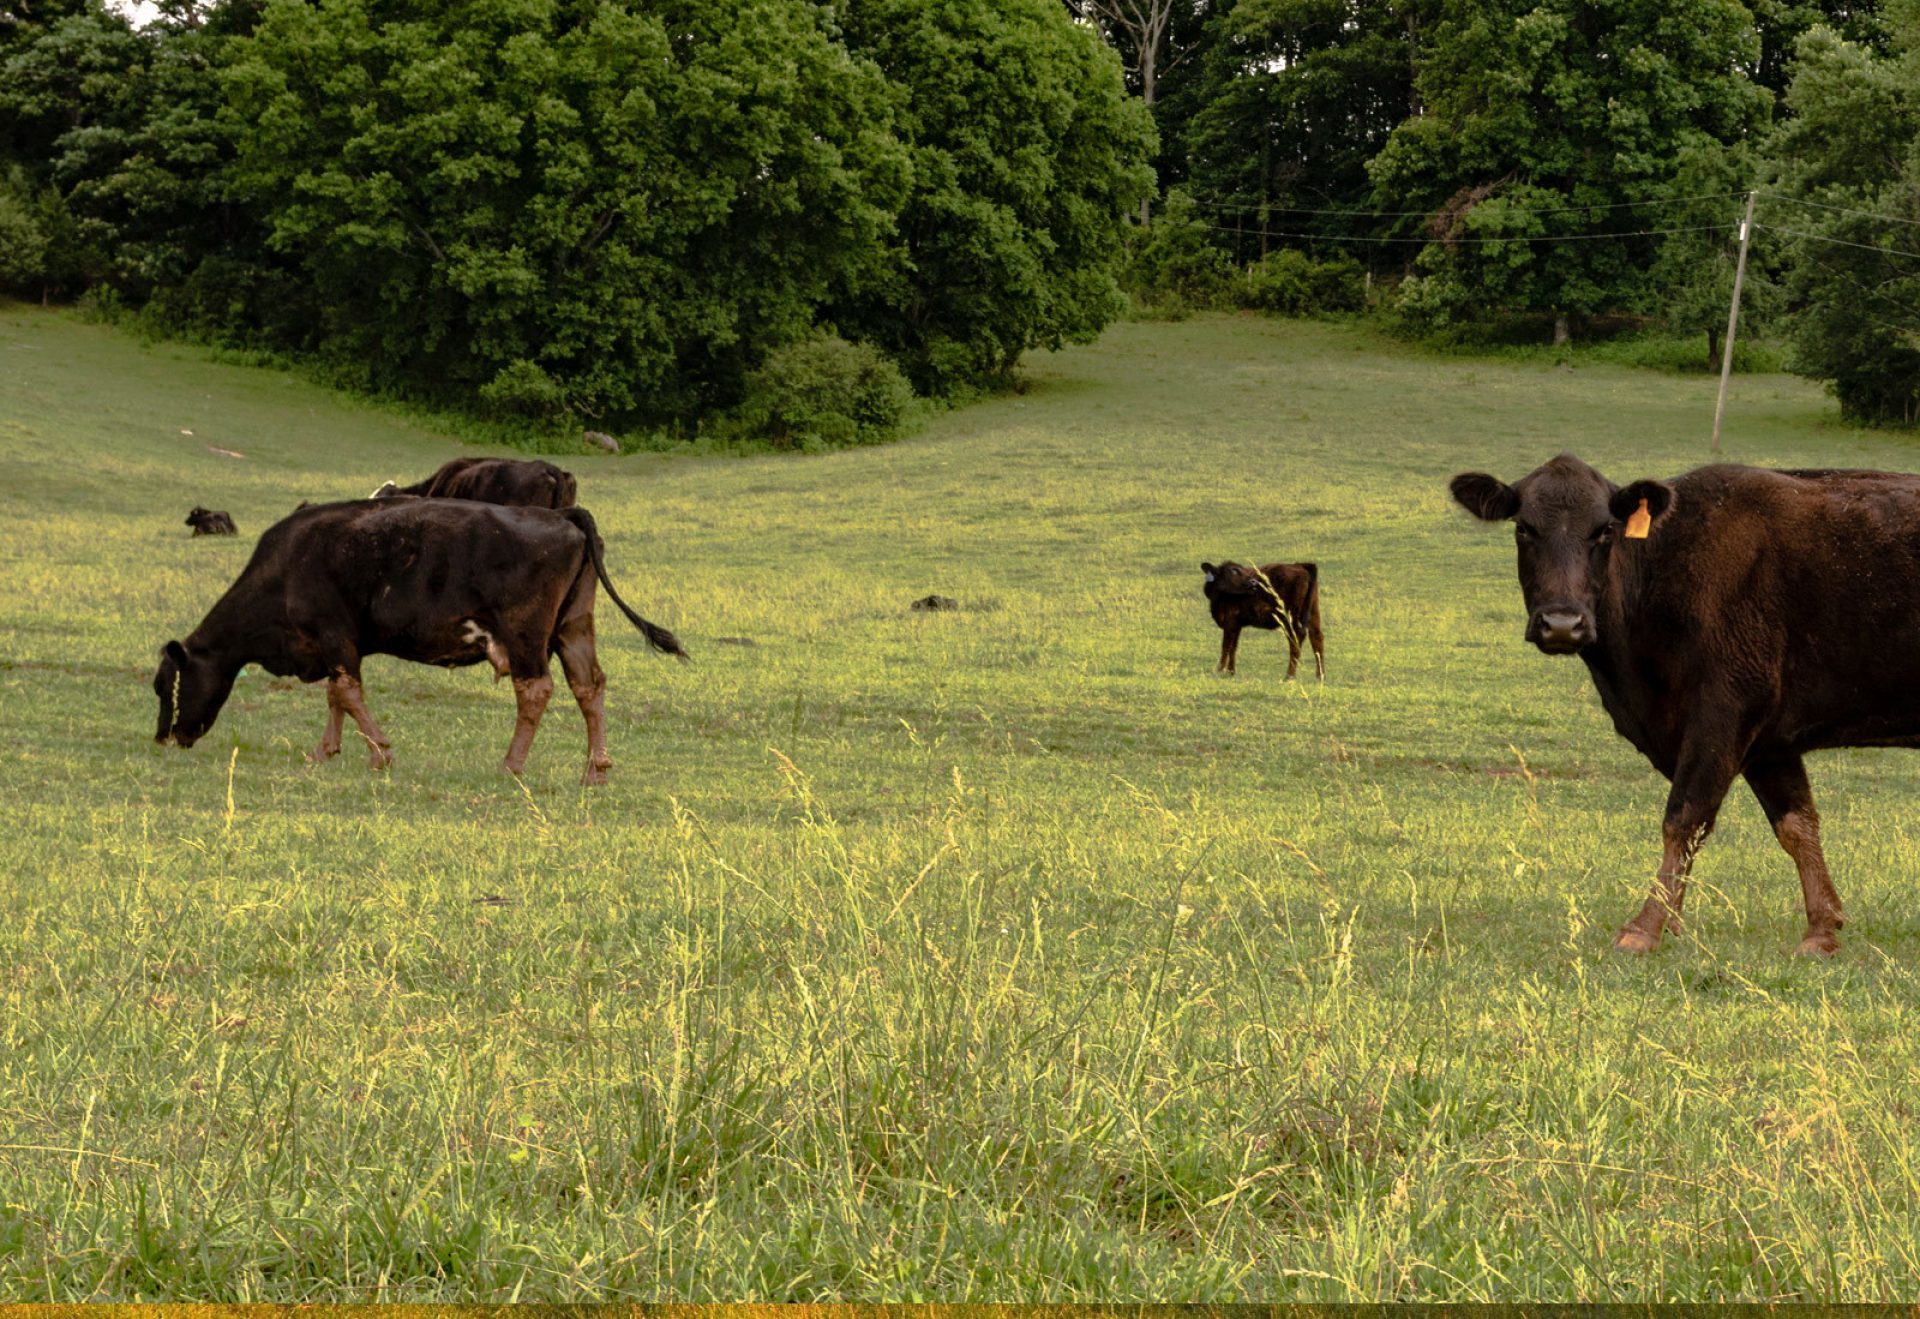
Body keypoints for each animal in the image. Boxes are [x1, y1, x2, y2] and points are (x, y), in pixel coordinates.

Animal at [153, 499, 687, 783]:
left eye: (166, 686)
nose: (167, 737)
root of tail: (564, 515)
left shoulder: (334, 634)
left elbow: (347, 692)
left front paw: (380, 752)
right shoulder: (335, 645)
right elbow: (337, 695)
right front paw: (325, 751)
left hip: (526, 634)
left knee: (536, 689)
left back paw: (511, 764)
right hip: (574, 626)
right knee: (588, 686)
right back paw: (596, 767)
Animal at [1443, 453, 1920, 959]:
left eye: (1604, 530)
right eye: (1524, 529)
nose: (1562, 623)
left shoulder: (1727, 708)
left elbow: (1684, 819)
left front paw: (1646, 925)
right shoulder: (1771, 741)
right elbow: (1797, 825)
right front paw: (1822, 928)